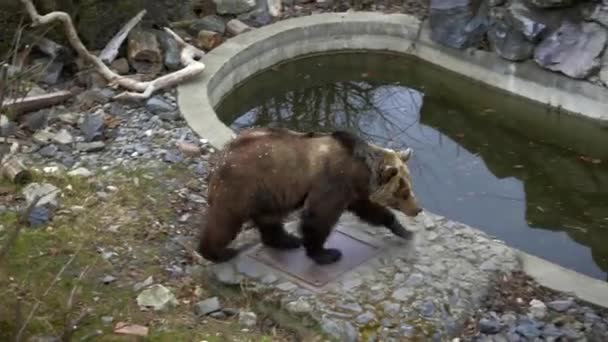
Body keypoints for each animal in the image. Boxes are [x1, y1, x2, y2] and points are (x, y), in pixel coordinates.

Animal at [197, 127, 420, 264]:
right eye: (403, 191)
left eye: (410, 187)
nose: (417, 209)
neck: (361, 170)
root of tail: (224, 154)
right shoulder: (334, 181)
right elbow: (319, 217)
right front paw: (326, 254)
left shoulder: (353, 191)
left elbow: (370, 210)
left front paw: (404, 231)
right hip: (242, 186)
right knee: (225, 220)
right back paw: (218, 252)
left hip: (267, 191)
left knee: (269, 218)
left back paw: (287, 240)